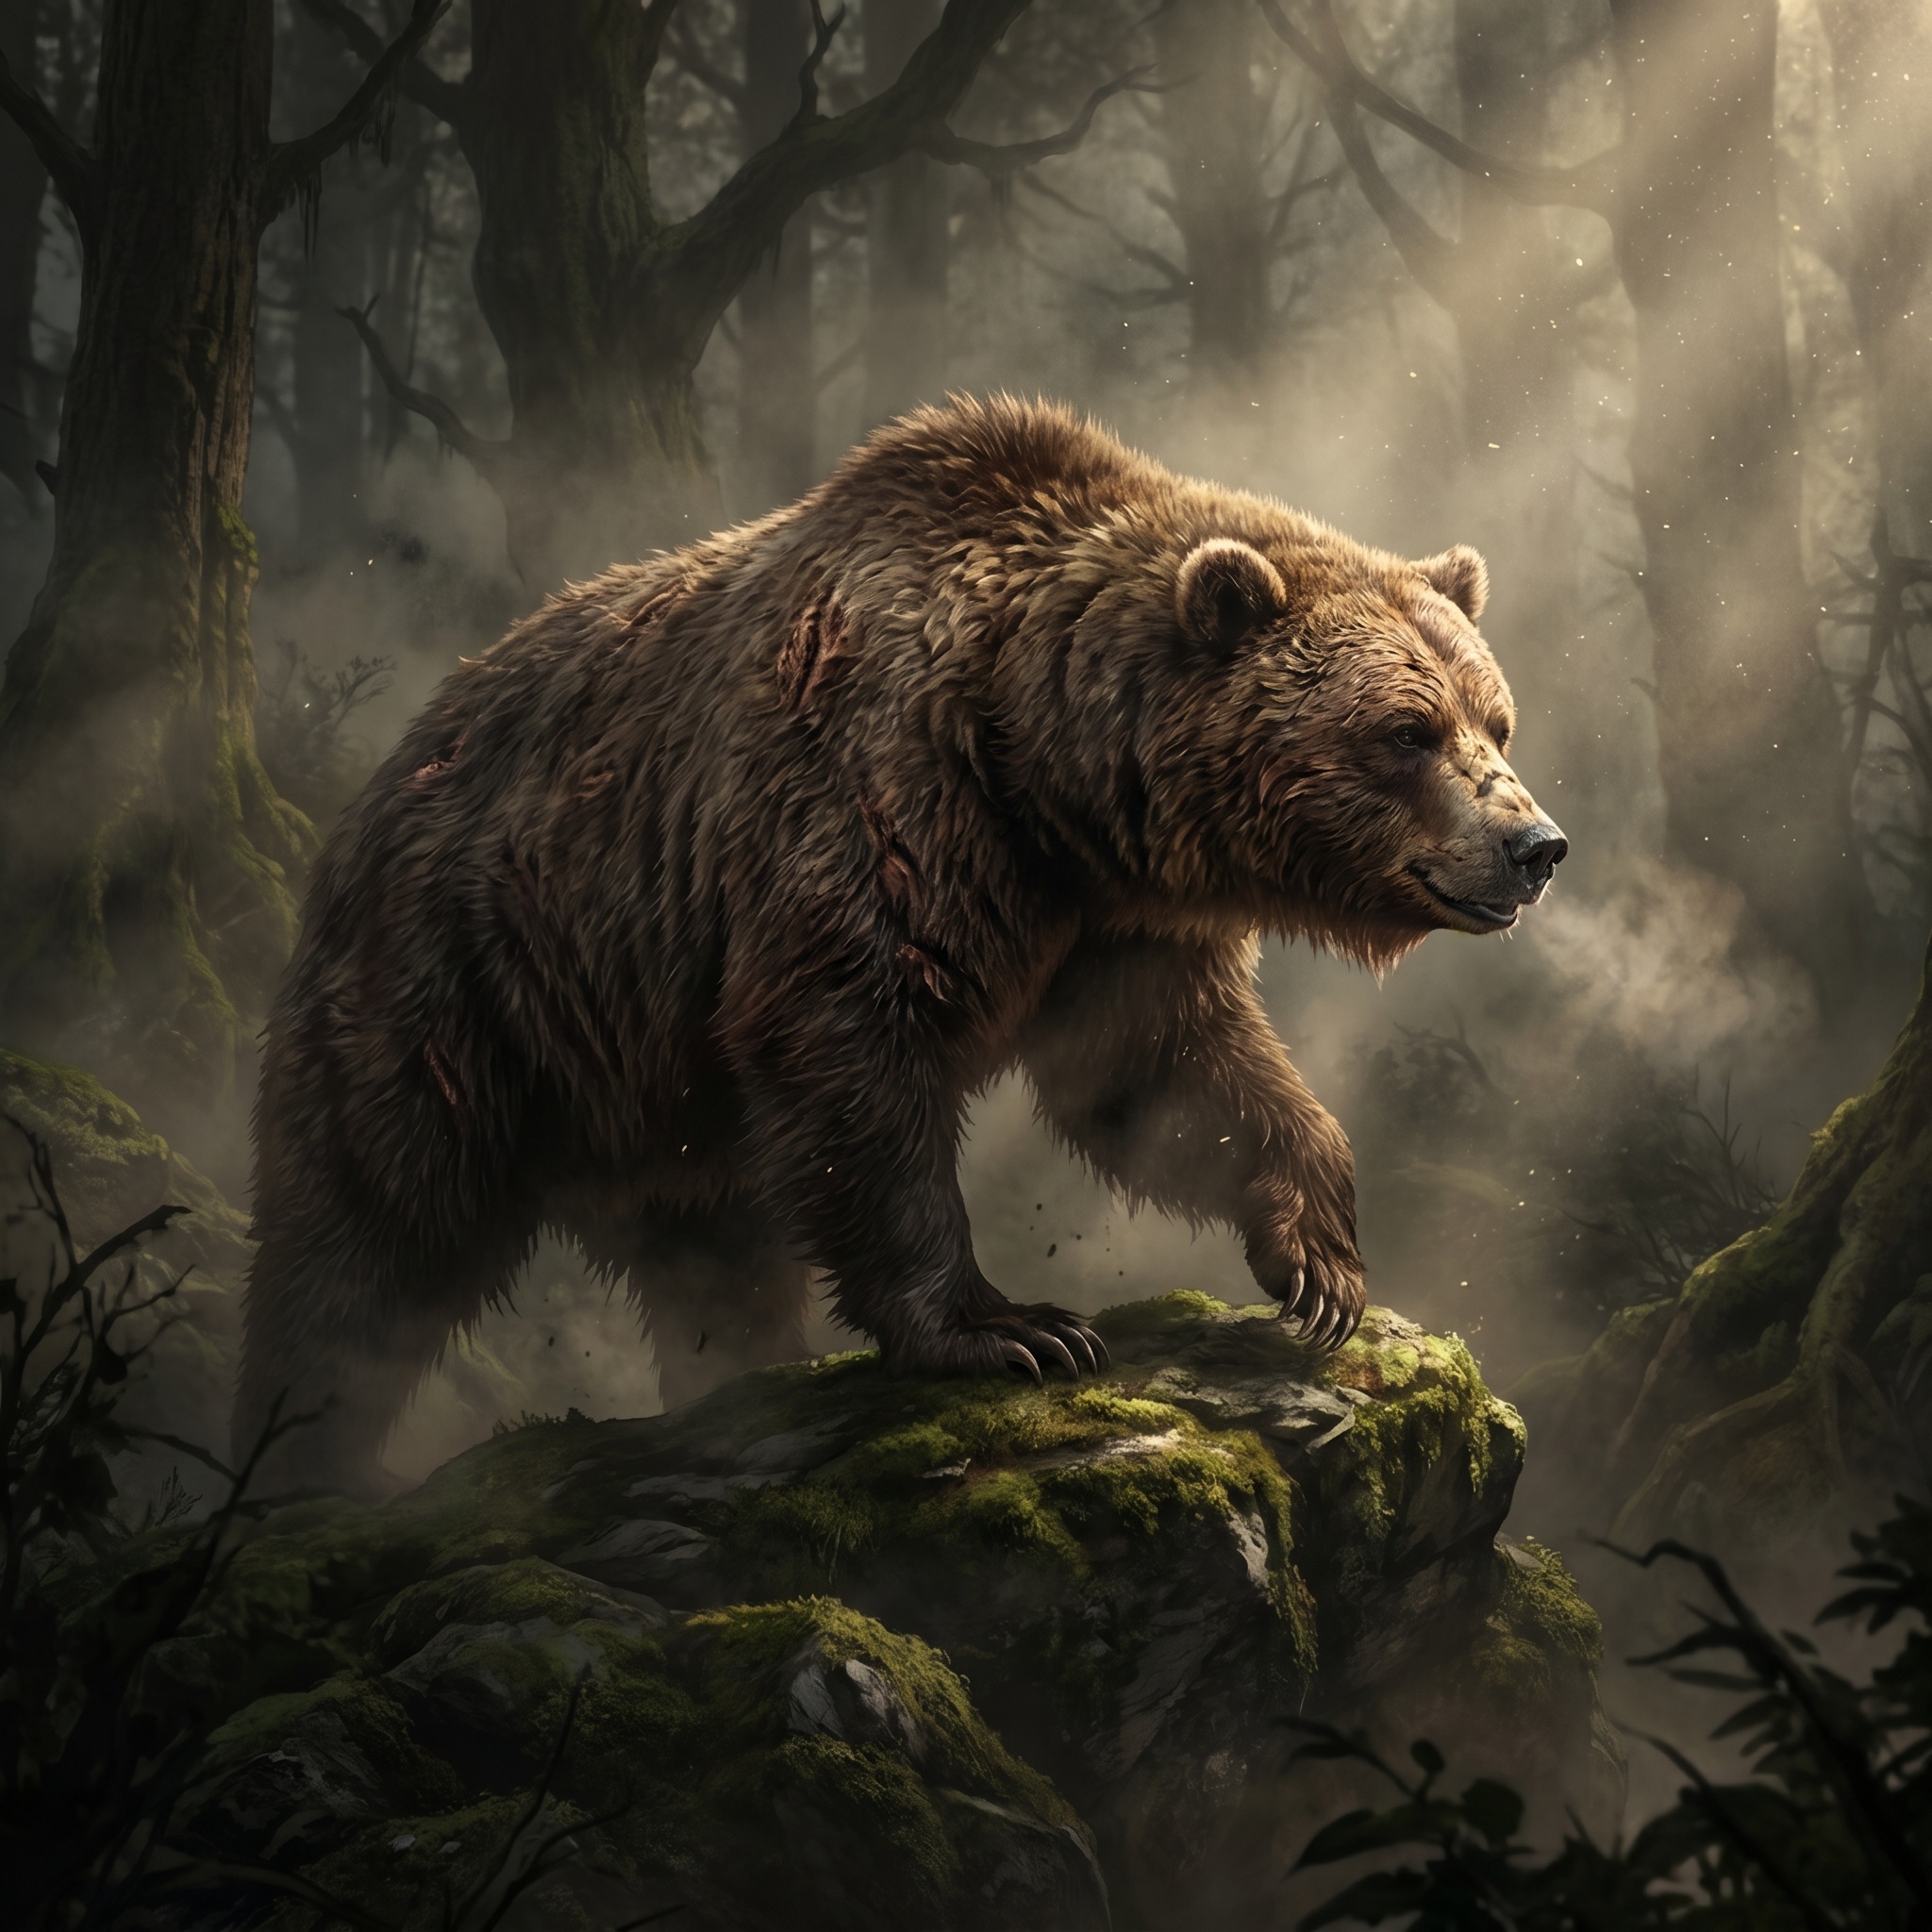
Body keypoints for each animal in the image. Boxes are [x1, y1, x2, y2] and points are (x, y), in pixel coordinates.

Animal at [236, 395, 1567, 1494]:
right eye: (1406, 729)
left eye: (1494, 717)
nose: (1535, 844)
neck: (1042, 763)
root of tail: (379, 779)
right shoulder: (873, 807)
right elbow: (855, 1051)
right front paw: (1014, 1326)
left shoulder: (1105, 921)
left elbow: (1165, 1073)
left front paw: (1321, 1262)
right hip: (463, 983)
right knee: (371, 1230)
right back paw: (303, 1459)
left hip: (648, 1075)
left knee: (711, 1247)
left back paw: (736, 1373)